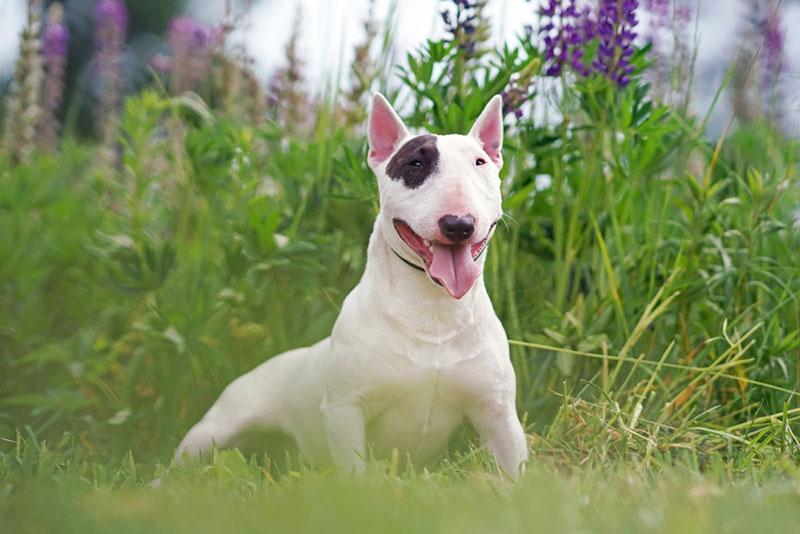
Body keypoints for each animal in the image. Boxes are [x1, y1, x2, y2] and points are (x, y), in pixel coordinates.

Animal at [179, 93, 532, 482]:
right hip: (215, 427)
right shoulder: (346, 409)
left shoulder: (498, 414)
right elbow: (354, 471)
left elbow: (515, 471)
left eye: (480, 162)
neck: (433, 307)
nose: (458, 224)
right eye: (415, 162)